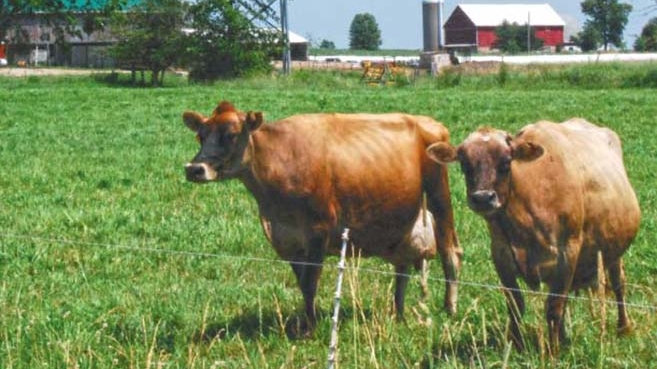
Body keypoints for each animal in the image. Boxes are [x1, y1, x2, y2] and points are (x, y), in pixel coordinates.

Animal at [182, 100, 464, 334]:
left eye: (230, 135)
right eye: (200, 136)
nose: (194, 169)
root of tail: (430, 122)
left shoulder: (319, 230)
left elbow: (310, 282)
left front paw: (310, 328)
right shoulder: (287, 239)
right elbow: (303, 282)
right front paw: (309, 320)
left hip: (439, 192)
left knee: (450, 251)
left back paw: (450, 308)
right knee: (402, 267)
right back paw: (398, 313)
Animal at [428, 119, 640, 352]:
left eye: (506, 162)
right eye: (464, 163)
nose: (483, 198)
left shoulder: (568, 251)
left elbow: (554, 307)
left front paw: (554, 351)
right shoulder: (501, 253)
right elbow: (516, 304)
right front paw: (516, 344)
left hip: (612, 251)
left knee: (618, 283)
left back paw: (624, 327)